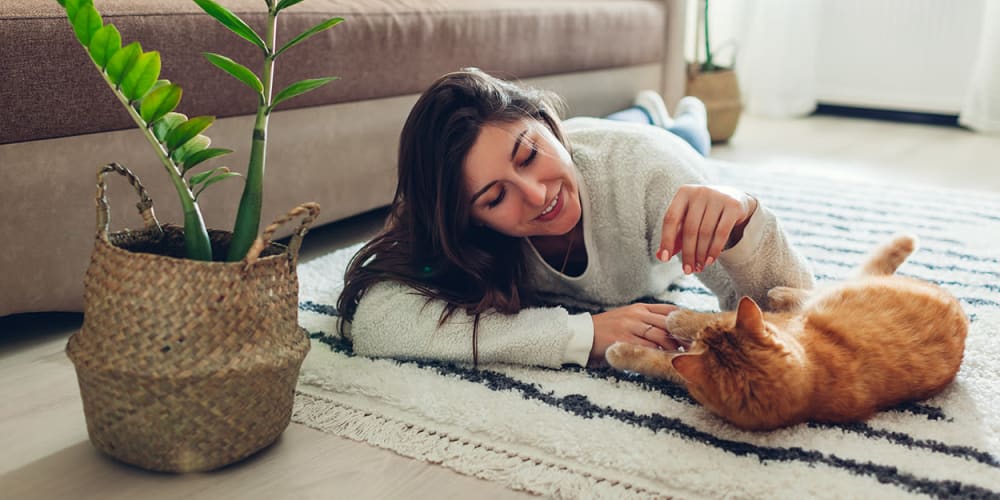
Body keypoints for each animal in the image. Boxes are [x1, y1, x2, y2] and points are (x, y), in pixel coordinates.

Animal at [604, 236, 964, 432]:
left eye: (701, 339)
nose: (692, 339)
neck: (815, 381)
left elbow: (665, 360)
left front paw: (668, 326)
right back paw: (779, 292)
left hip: (838, 294)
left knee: (821, 289)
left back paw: (778, 292)